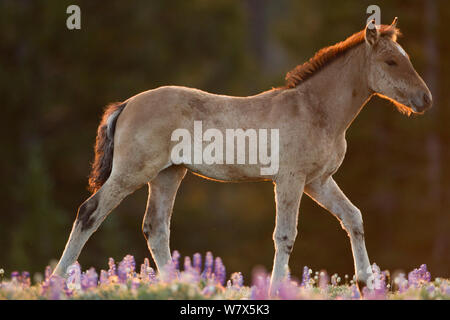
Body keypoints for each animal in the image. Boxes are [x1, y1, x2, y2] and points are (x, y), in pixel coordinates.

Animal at [52, 18, 432, 296]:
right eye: (391, 61)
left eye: (407, 59)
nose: (425, 99)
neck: (315, 110)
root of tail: (127, 103)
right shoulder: (290, 179)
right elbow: (285, 234)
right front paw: (276, 289)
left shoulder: (318, 181)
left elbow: (353, 217)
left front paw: (367, 284)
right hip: (133, 171)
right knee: (90, 212)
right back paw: (56, 281)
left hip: (168, 174)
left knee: (155, 227)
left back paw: (177, 286)